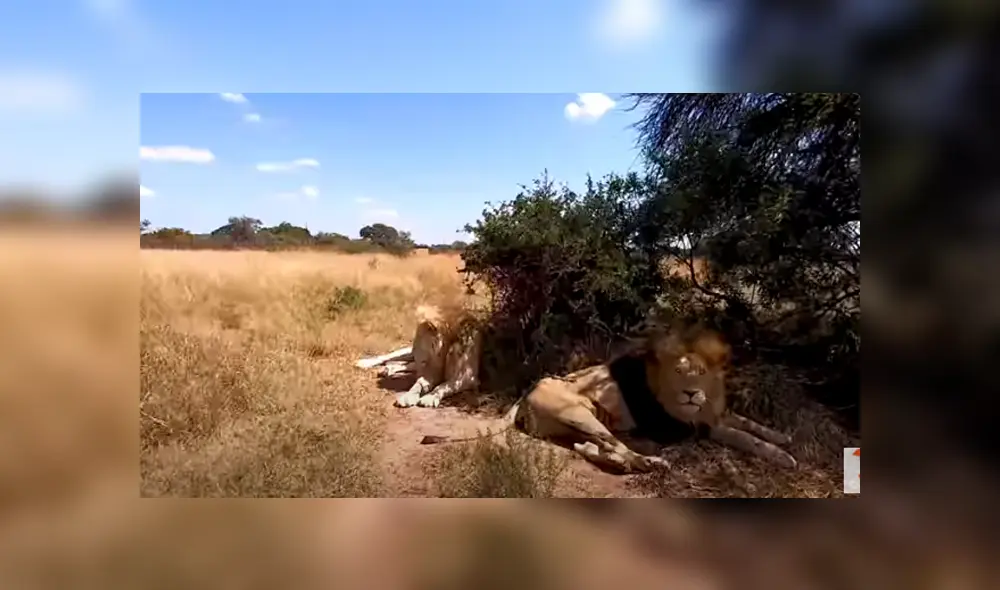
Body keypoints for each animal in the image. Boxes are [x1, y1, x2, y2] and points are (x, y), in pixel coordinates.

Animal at [354, 303, 483, 409]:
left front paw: (430, 397)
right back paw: (365, 363)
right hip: (404, 353)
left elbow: (442, 386)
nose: (414, 352)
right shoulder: (429, 369)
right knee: (389, 357)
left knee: (407, 365)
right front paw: (408, 396)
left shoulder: (468, 378)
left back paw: (388, 369)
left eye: (418, 345)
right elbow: (419, 383)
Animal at [422, 327, 797, 473]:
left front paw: (783, 438)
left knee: (598, 449)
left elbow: (746, 422)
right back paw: (652, 462)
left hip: (584, 422)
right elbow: (742, 435)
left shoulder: (713, 412)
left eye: (701, 371)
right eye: (679, 371)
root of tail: (527, 391)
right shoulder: (687, 427)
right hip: (579, 414)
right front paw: (785, 457)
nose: (690, 393)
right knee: (619, 450)